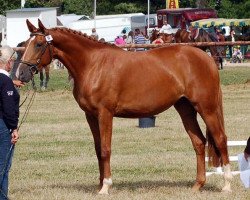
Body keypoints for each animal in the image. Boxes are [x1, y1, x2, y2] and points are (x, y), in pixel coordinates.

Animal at [16, 19, 233, 195]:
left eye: (39, 44)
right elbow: (98, 150)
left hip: (207, 108)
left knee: (220, 139)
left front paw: (106, 186)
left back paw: (227, 184)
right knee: (199, 142)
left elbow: (106, 149)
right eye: (25, 44)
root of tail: (206, 57)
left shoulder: (105, 114)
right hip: (185, 108)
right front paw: (100, 184)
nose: (21, 74)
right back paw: (197, 185)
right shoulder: (90, 116)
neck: (92, 64)